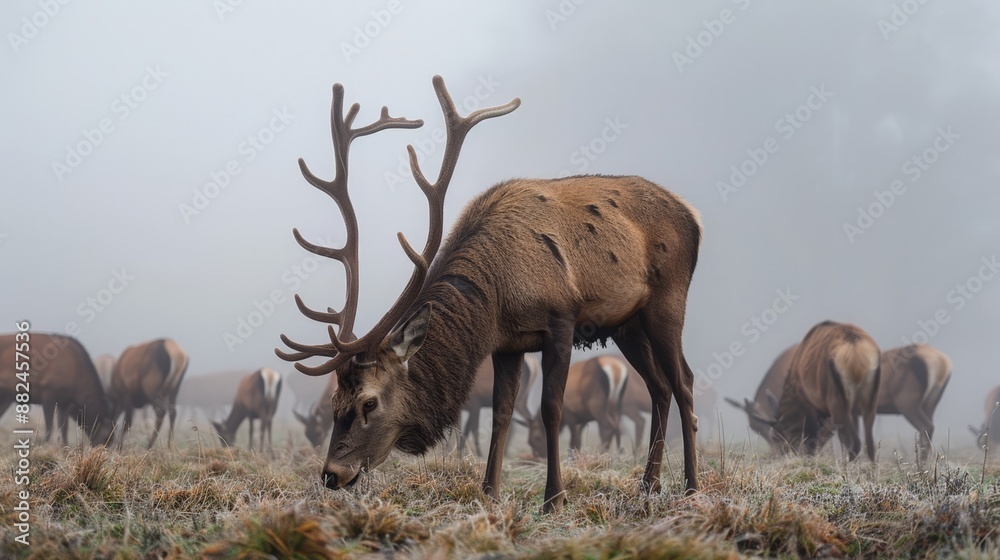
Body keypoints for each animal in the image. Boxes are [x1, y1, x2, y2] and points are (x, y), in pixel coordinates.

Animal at [275, 76, 702, 513]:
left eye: (369, 402)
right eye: (334, 403)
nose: (331, 474)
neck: (498, 295)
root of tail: (694, 217)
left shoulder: (561, 321)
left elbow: (551, 408)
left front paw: (554, 498)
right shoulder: (508, 343)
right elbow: (501, 413)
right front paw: (489, 492)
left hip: (668, 300)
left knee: (684, 382)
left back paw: (691, 486)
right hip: (626, 325)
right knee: (659, 387)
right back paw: (648, 485)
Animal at [749, 322, 880, 461]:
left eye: (776, 436)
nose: (778, 456)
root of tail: (854, 347)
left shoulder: (811, 406)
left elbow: (812, 439)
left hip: (837, 401)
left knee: (854, 443)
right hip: (869, 400)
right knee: (869, 445)